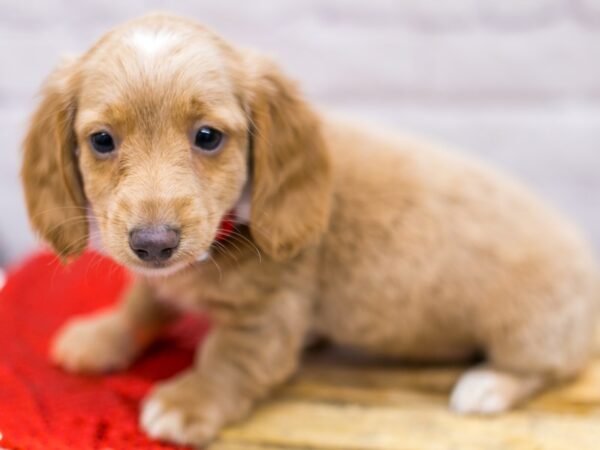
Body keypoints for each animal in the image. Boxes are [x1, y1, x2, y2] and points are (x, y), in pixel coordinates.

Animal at [19, 13, 600, 446]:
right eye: (101, 140)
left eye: (208, 137)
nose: (154, 245)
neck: (226, 233)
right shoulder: (160, 277)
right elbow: (144, 301)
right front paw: (103, 335)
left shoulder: (265, 323)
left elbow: (225, 360)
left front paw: (188, 401)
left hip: (529, 329)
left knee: (549, 367)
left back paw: (487, 387)